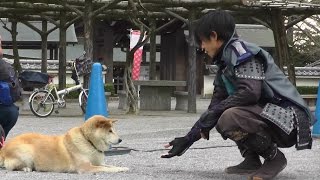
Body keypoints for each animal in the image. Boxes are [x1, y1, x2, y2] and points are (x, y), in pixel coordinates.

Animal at [0, 114, 129, 174]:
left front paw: (122, 167)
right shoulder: (86, 167)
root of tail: (3, 149)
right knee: (11, 167)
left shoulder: (97, 163)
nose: (120, 140)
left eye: (113, 130)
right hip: (26, 151)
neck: (88, 141)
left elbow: (109, 166)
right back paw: (26, 168)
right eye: (110, 131)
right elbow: (105, 168)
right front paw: (118, 170)